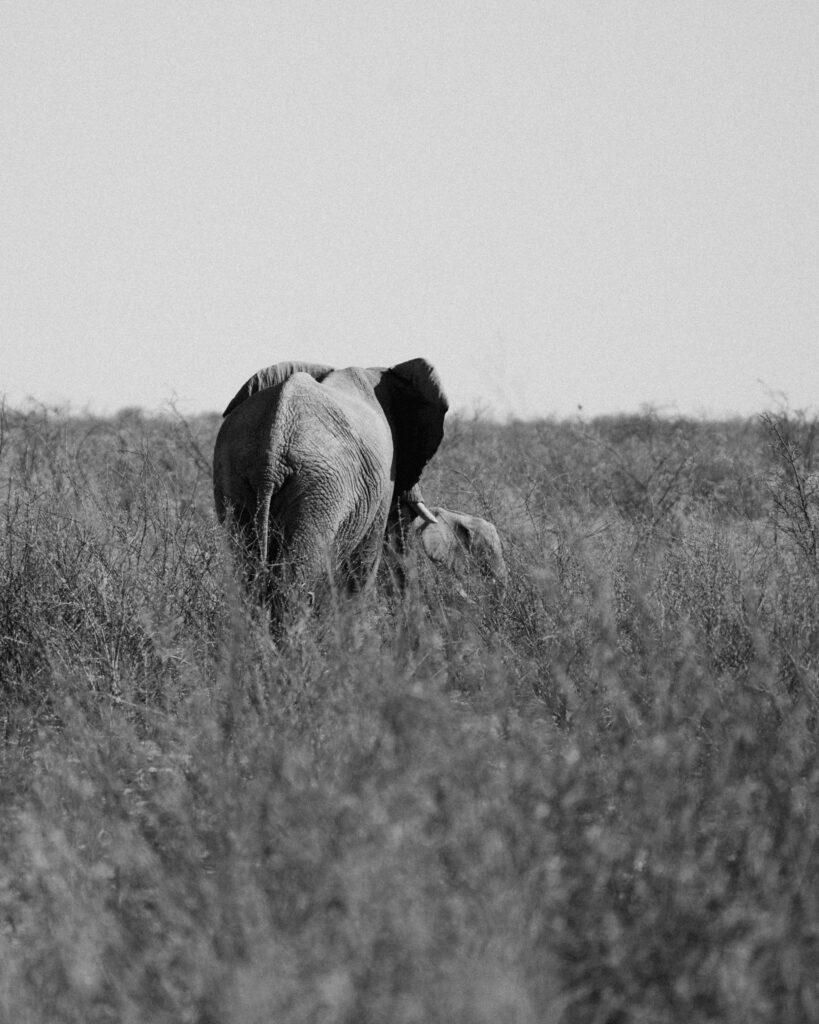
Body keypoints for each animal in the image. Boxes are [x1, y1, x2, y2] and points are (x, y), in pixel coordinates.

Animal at [210, 358, 448, 614]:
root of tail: (273, 448)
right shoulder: (384, 478)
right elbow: (364, 562)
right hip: (320, 487)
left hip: (234, 474)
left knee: (247, 569)